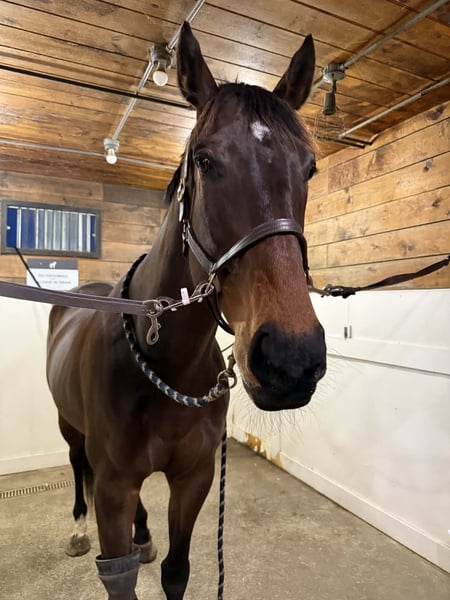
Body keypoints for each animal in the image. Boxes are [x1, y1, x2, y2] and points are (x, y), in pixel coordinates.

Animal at [46, 22, 326, 600]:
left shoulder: (193, 478)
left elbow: (176, 570)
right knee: (77, 465)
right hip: (69, 427)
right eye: (204, 160)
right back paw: (78, 527)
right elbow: (120, 573)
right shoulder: (113, 489)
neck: (165, 364)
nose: (290, 359)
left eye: (309, 167)